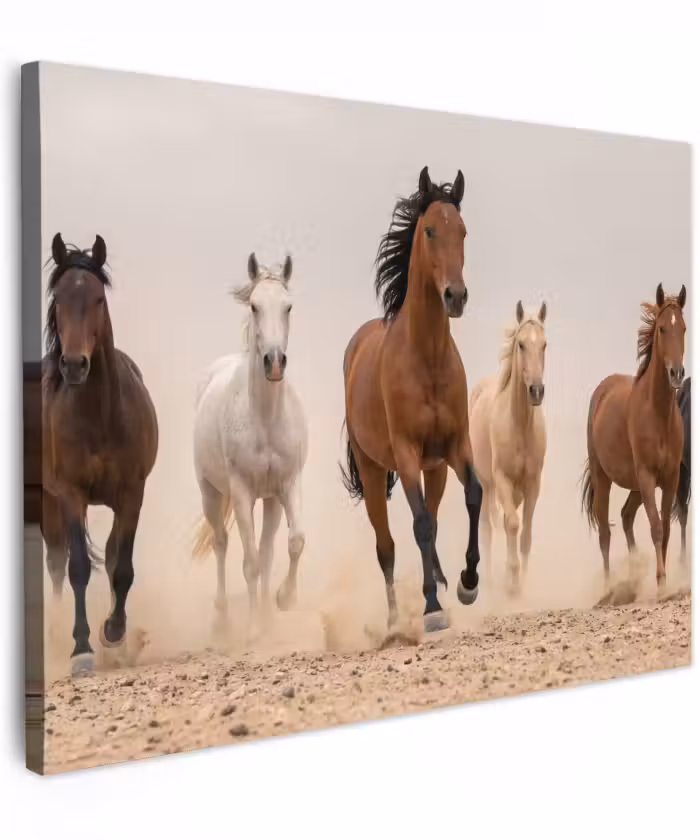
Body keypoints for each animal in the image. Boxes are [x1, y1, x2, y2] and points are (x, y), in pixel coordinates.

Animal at [41, 233, 158, 674]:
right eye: (58, 297)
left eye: (97, 299)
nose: (74, 365)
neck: (98, 415)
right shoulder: (71, 494)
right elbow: (77, 568)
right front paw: (81, 649)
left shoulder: (131, 494)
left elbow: (121, 567)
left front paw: (114, 632)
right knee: (60, 562)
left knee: (107, 558)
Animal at [192, 253, 308, 636]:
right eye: (255, 306)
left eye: (288, 306)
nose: (274, 362)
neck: (266, 419)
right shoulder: (242, 492)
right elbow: (251, 562)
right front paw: (255, 631)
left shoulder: (287, 485)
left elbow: (293, 543)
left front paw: (283, 602)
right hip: (211, 493)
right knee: (222, 544)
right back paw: (223, 619)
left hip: (269, 500)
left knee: (267, 549)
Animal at [340, 165, 482, 634]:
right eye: (431, 231)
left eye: (463, 231)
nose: (456, 296)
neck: (428, 358)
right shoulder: (404, 454)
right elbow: (418, 524)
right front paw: (431, 608)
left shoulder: (455, 446)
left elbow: (473, 495)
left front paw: (467, 582)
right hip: (372, 472)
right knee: (386, 545)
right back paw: (394, 619)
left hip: (433, 468)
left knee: (434, 519)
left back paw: (442, 581)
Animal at [468, 300, 548, 595]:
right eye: (521, 344)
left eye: (544, 344)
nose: (536, 390)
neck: (519, 426)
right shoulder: (501, 479)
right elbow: (512, 525)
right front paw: (511, 583)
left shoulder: (532, 484)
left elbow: (525, 534)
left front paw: (519, 584)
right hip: (486, 485)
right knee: (488, 529)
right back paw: (491, 582)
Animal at [581, 283, 686, 592]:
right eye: (662, 328)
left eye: (683, 328)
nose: (677, 373)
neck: (658, 415)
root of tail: (602, 389)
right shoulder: (648, 476)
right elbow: (656, 527)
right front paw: (661, 581)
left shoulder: (671, 478)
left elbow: (666, 527)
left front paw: (663, 580)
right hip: (605, 478)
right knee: (605, 532)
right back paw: (609, 586)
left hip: (636, 486)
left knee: (626, 516)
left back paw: (634, 570)